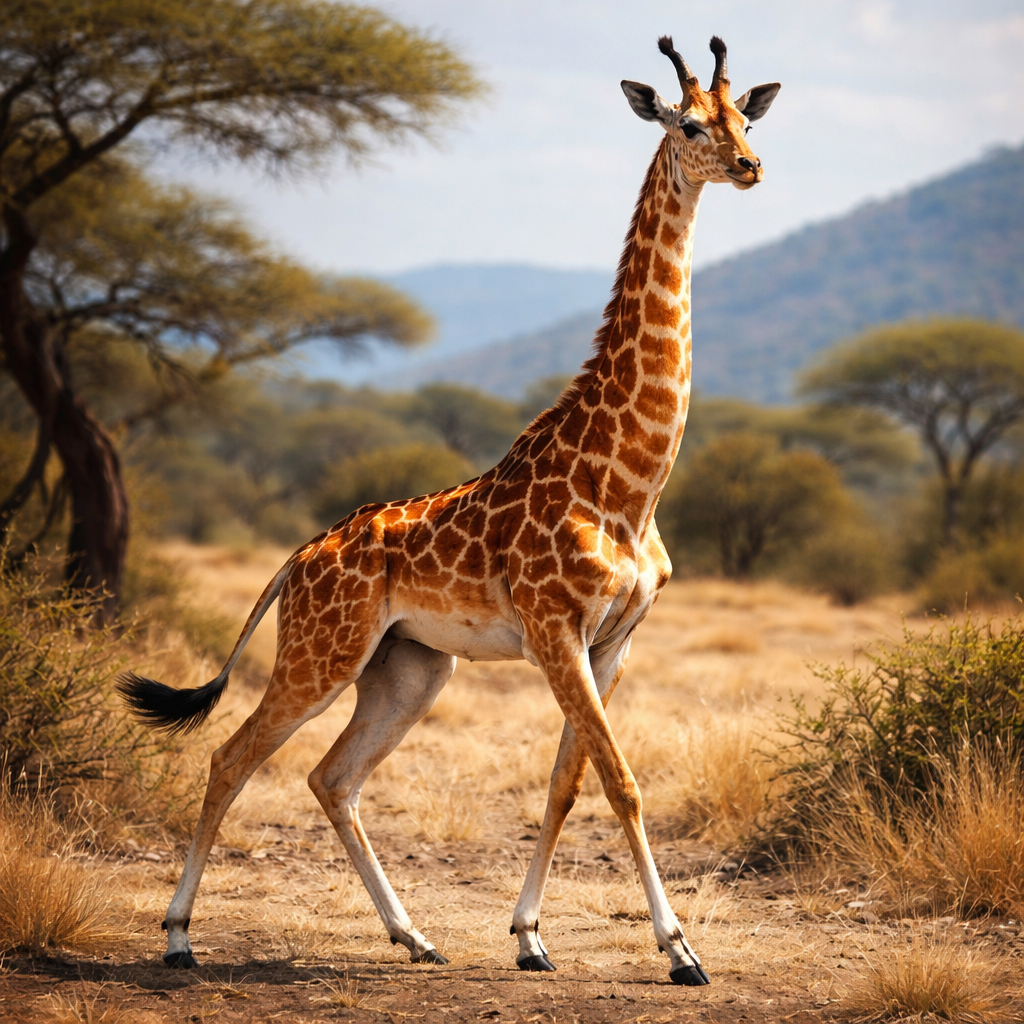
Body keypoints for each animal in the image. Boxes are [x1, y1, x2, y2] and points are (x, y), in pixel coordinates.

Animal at [121, 34, 779, 986]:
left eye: (746, 120)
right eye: (690, 124)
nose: (751, 166)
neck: (628, 484)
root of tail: (298, 558)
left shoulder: (613, 640)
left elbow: (568, 782)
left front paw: (531, 938)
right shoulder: (555, 630)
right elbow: (621, 781)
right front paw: (680, 949)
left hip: (410, 669)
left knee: (332, 776)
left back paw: (415, 935)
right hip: (324, 654)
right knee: (233, 755)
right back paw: (178, 936)